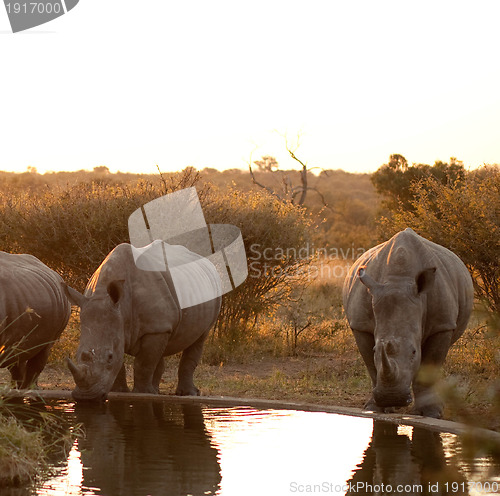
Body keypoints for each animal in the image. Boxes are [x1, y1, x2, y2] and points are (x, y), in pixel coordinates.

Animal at [65, 242, 222, 402]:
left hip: (213, 293)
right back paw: (156, 391)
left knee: (199, 338)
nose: (86, 397)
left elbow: (143, 363)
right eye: (77, 355)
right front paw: (120, 391)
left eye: (109, 357)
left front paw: (142, 393)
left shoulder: (154, 329)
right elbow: (124, 361)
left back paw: (187, 393)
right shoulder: (125, 327)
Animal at [342, 229, 474, 418]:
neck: (398, 280)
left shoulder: (442, 325)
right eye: (375, 350)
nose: (391, 396)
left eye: (413, 352)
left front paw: (430, 414)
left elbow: (429, 367)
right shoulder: (360, 325)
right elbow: (372, 367)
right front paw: (374, 408)